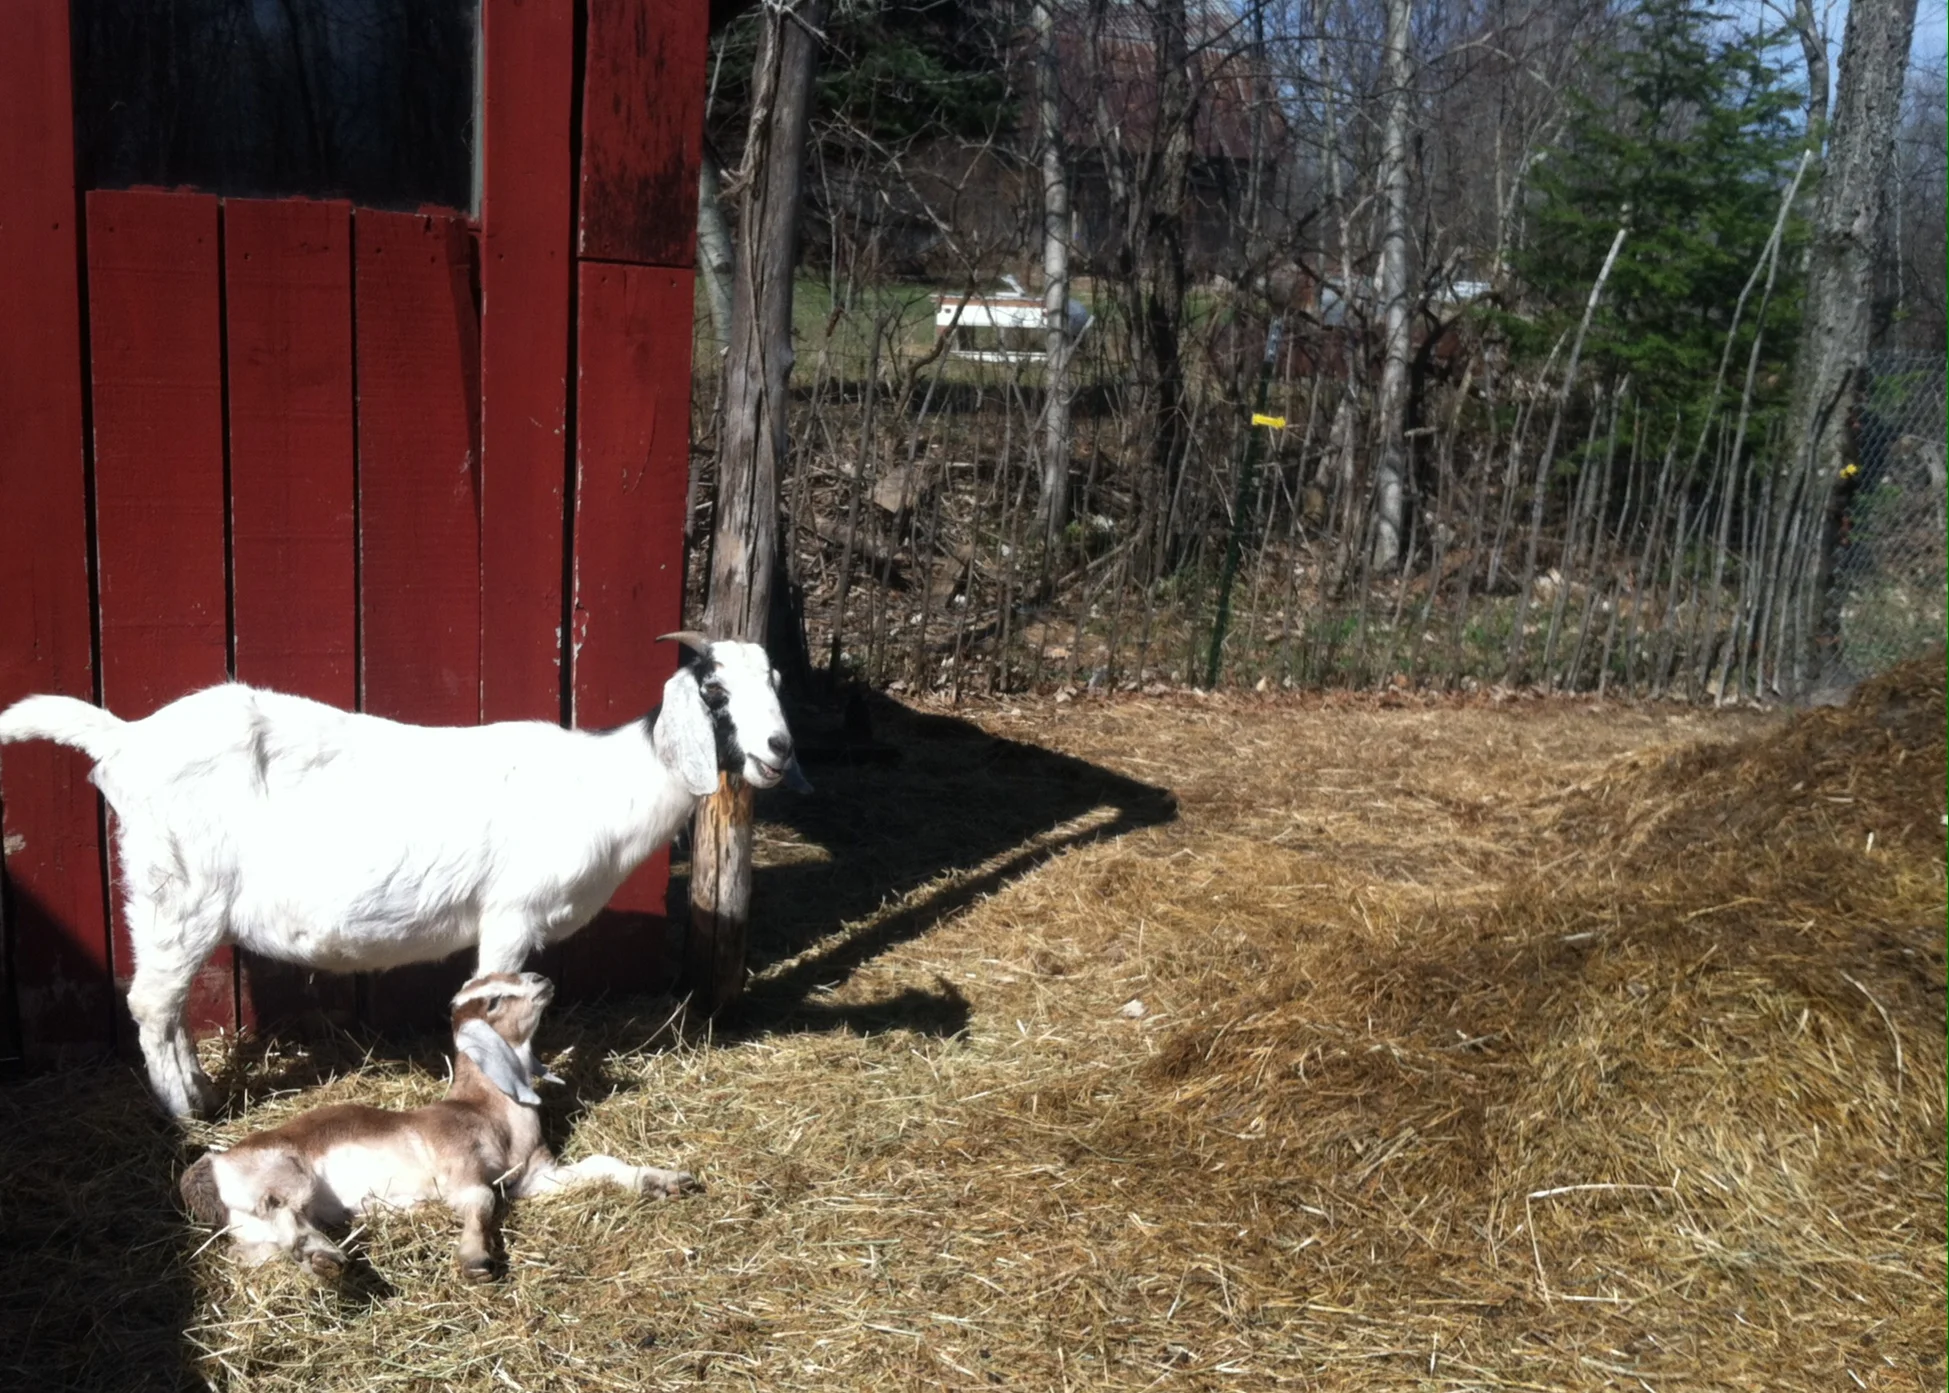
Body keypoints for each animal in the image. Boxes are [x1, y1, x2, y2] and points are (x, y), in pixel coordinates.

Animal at [0, 633, 802, 1118]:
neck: (602, 782)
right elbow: (497, 1002)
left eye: (775, 683)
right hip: (180, 891)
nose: (779, 749)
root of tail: (126, 739)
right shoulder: (511, 912)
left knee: (162, 1007)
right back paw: (186, 1111)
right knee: (152, 1002)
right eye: (715, 694)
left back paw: (197, 1090)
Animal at [180, 971, 694, 1280]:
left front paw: (665, 1180)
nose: (542, 979)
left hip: (254, 1233)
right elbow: (481, 1200)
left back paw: (317, 1257)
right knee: (282, 1210)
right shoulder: (459, 1168)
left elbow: (599, 1164)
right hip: (286, 1173)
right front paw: (475, 1258)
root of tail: (214, 1164)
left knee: (264, 1244)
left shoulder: (533, 1178)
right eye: (493, 1001)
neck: (488, 1112)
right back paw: (324, 1257)